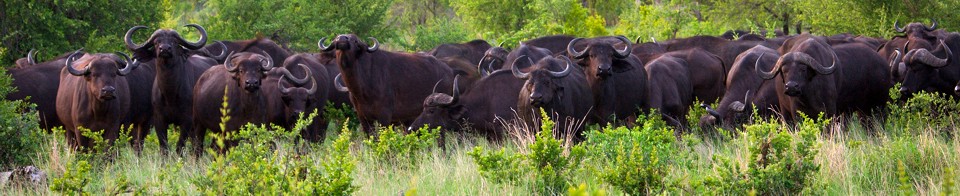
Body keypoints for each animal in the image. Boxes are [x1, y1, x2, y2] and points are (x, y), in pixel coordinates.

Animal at [124, 24, 219, 153]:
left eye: (174, 42)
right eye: (156, 42)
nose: (164, 49)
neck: (170, 92)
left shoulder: (187, 120)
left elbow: (180, 145)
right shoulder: (159, 120)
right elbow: (163, 146)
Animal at [320, 34, 456, 135]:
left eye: (354, 40)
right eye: (336, 38)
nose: (342, 39)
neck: (362, 87)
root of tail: (449, 71)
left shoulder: (384, 117)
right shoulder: (363, 118)